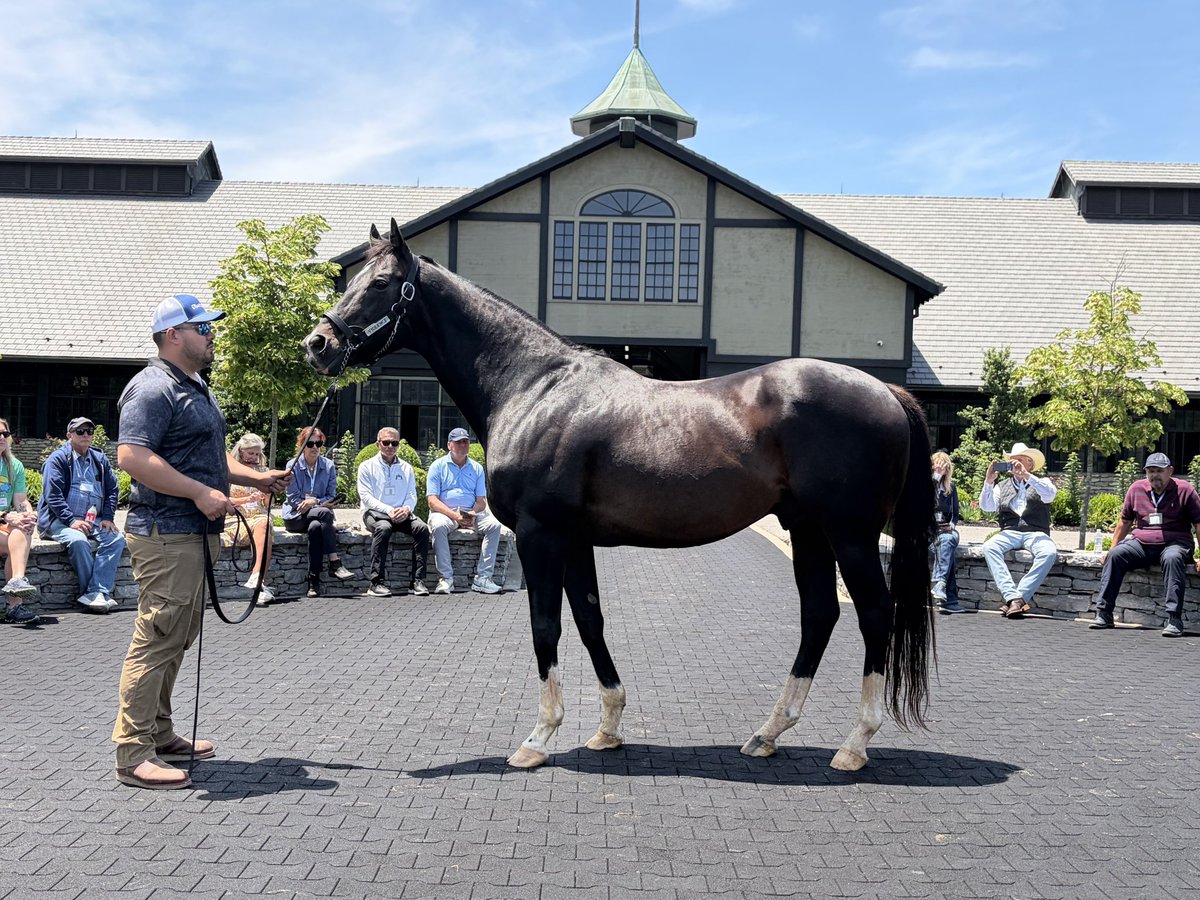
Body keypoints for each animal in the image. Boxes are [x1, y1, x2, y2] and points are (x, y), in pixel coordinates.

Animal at [304, 219, 935, 772]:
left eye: (382, 283)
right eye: (354, 278)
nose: (318, 344)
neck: (534, 387)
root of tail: (886, 389)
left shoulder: (540, 535)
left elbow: (546, 626)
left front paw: (538, 738)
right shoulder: (575, 540)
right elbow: (590, 620)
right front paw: (607, 727)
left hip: (850, 534)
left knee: (874, 614)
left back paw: (854, 745)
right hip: (807, 529)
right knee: (820, 613)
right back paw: (767, 734)